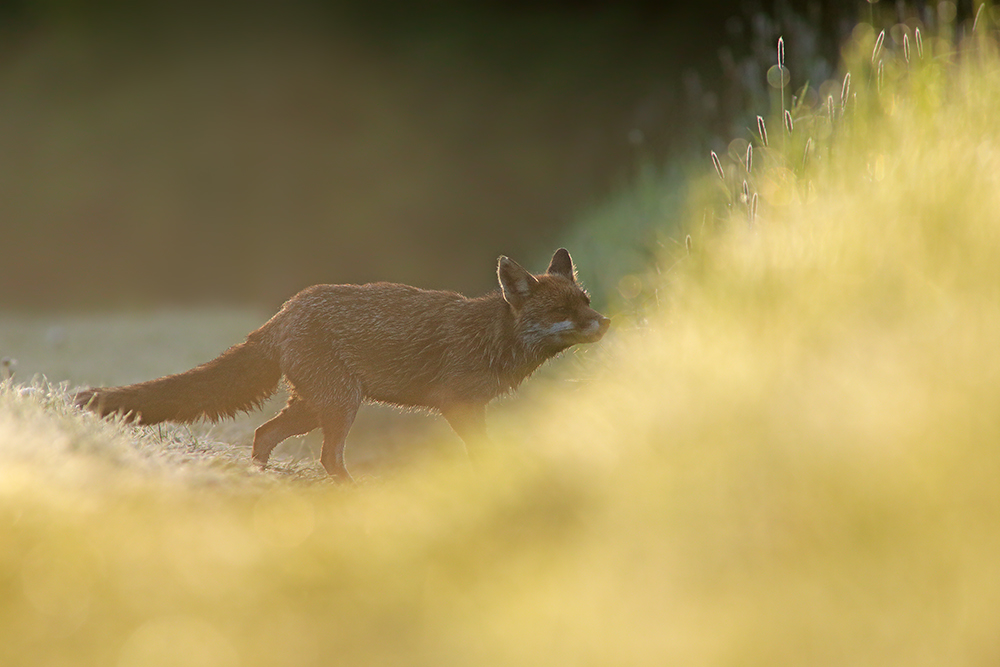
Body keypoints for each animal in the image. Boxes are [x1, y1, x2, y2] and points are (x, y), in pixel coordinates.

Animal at [76, 248, 608, 478]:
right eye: (561, 312)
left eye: (584, 301)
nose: (604, 322)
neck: (491, 337)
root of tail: (283, 313)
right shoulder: (458, 405)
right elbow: (482, 451)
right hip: (340, 404)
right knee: (326, 457)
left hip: (315, 405)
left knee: (263, 434)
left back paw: (263, 478)